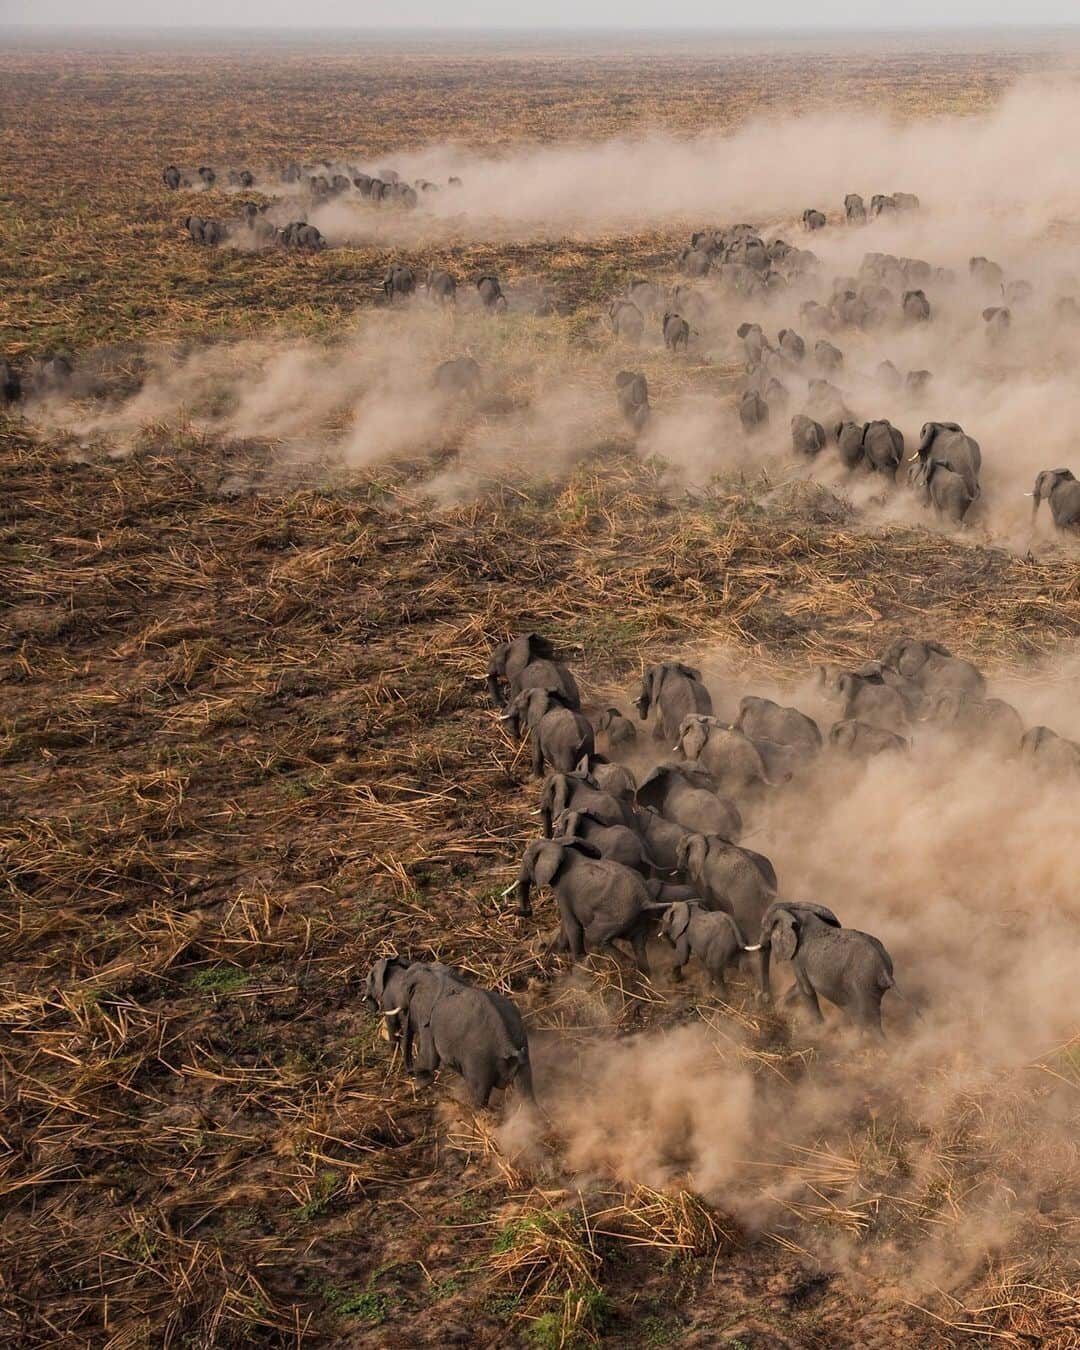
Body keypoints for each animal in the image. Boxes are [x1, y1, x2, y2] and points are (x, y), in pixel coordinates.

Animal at [386, 961, 534, 1107]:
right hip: (521, 1046)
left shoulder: (429, 1020)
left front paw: (421, 1083)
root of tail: (508, 1045)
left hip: (480, 1061)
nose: (409, 1073)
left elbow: (430, 1059)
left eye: (407, 990)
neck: (436, 973)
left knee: (479, 1096)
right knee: (526, 1092)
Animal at [515, 831, 658, 972]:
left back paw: (627, 967)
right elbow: (567, 924)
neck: (558, 845)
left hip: (617, 917)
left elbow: (572, 925)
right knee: (639, 943)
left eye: (525, 860)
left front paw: (579, 962)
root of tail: (644, 900)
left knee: (595, 936)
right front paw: (557, 952)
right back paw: (643, 971)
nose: (521, 912)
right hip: (639, 917)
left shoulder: (563, 890)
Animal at [745, 901, 896, 1036]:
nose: (763, 998)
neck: (794, 910)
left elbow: (806, 989)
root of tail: (884, 970)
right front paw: (778, 1007)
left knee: (869, 1021)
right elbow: (799, 986)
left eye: (764, 928)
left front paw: (818, 1032)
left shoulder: (799, 956)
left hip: (863, 985)